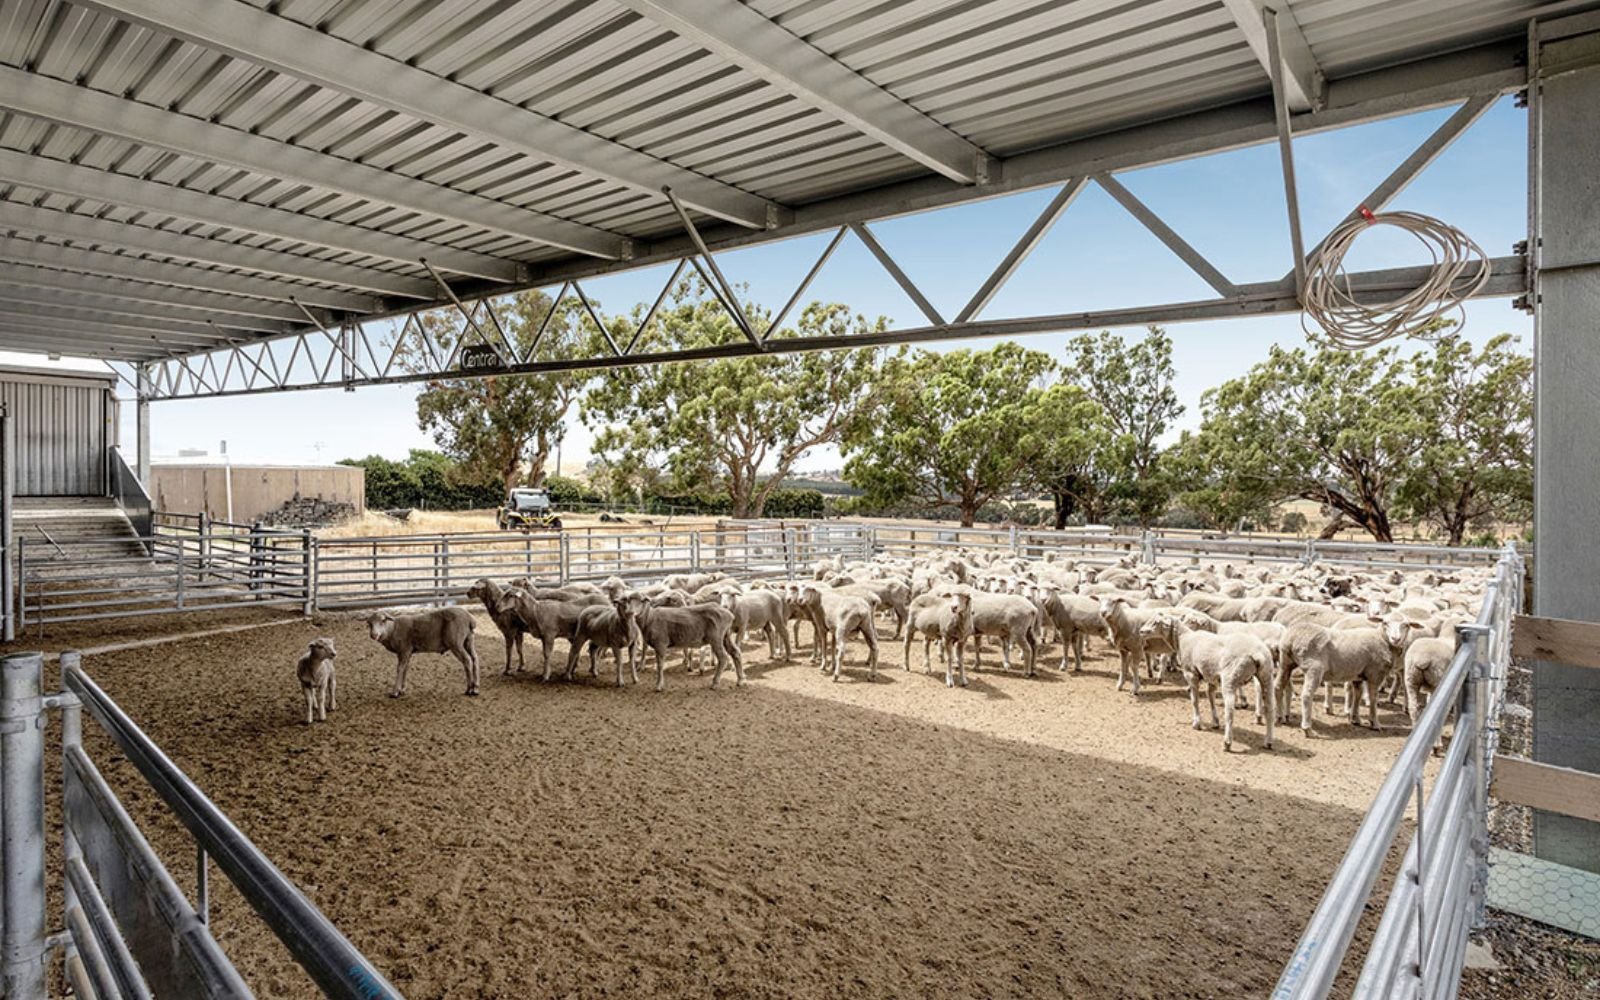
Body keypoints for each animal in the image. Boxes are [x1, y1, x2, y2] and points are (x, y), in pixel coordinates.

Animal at [1139, 614, 1275, 751]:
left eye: (1156, 622)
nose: (1141, 631)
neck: (1183, 639)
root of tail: (1257, 653)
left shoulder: (1191, 674)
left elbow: (1194, 700)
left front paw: (1197, 723)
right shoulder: (1211, 677)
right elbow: (1210, 697)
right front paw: (1215, 722)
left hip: (1229, 678)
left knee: (1230, 710)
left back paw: (1227, 742)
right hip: (1266, 676)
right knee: (1269, 708)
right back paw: (1268, 741)